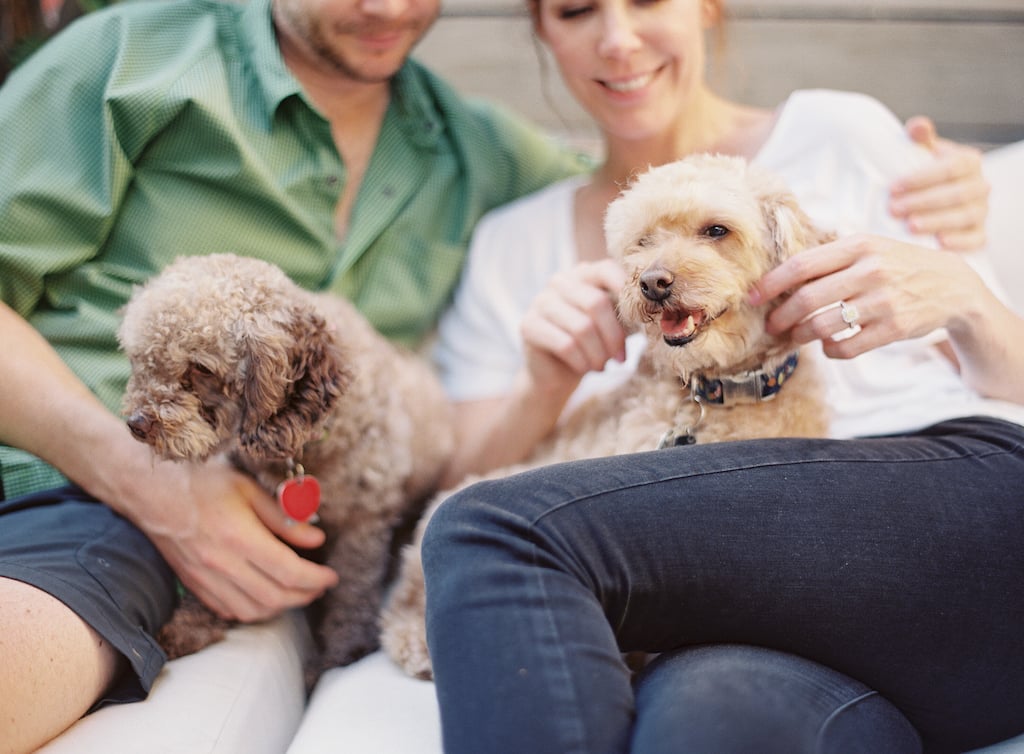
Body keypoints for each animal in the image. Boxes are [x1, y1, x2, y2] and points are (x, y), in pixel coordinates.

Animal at [376, 151, 831, 676]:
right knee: (404, 606)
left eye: (717, 230)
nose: (653, 282)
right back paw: (415, 641)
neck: (717, 393)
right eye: (642, 240)